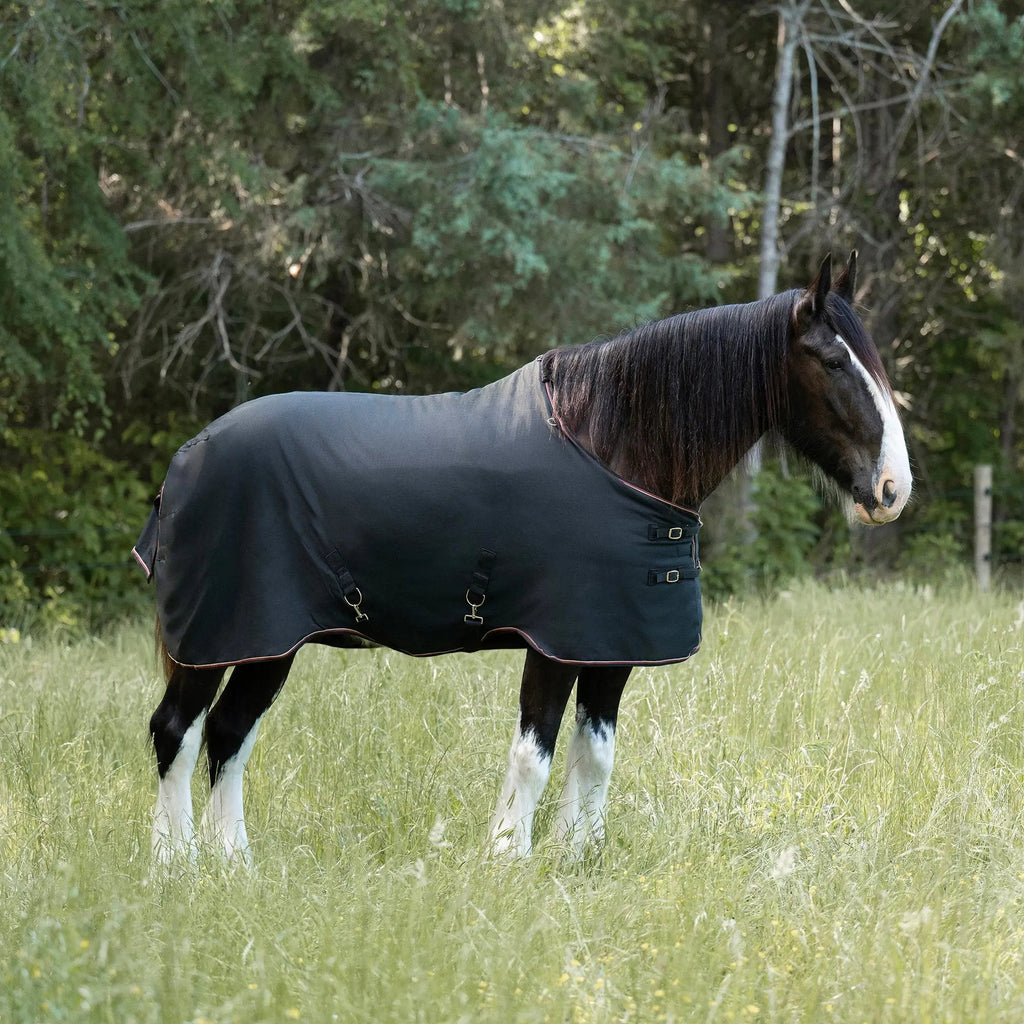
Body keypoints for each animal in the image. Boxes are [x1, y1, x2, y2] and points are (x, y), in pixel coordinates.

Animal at [135, 251, 911, 865]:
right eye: (834, 360)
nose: (893, 490)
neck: (610, 445)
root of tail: (186, 460)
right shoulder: (556, 641)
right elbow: (533, 754)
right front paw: (509, 856)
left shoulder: (612, 643)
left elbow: (594, 754)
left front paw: (578, 856)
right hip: (224, 638)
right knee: (178, 731)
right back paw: (176, 865)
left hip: (267, 644)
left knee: (228, 734)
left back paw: (235, 865)